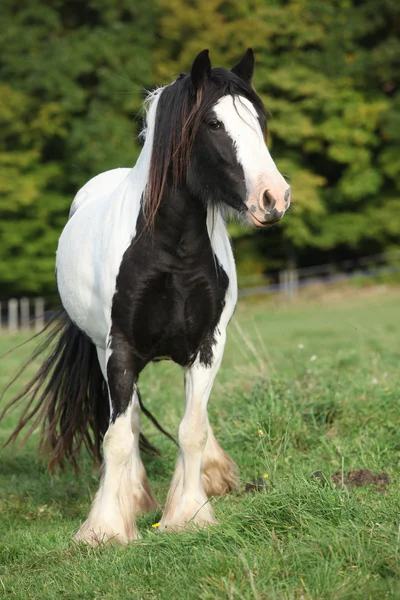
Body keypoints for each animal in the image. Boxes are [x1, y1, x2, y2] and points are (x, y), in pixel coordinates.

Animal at [0, 47, 288, 544]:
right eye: (213, 123)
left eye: (259, 119)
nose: (275, 197)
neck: (170, 249)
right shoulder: (120, 350)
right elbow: (118, 436)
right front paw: (104, 528)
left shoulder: (208, 346)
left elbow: (192, 429)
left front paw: (189, 514)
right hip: (105, 353)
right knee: (128, 421)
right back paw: (132, 498)